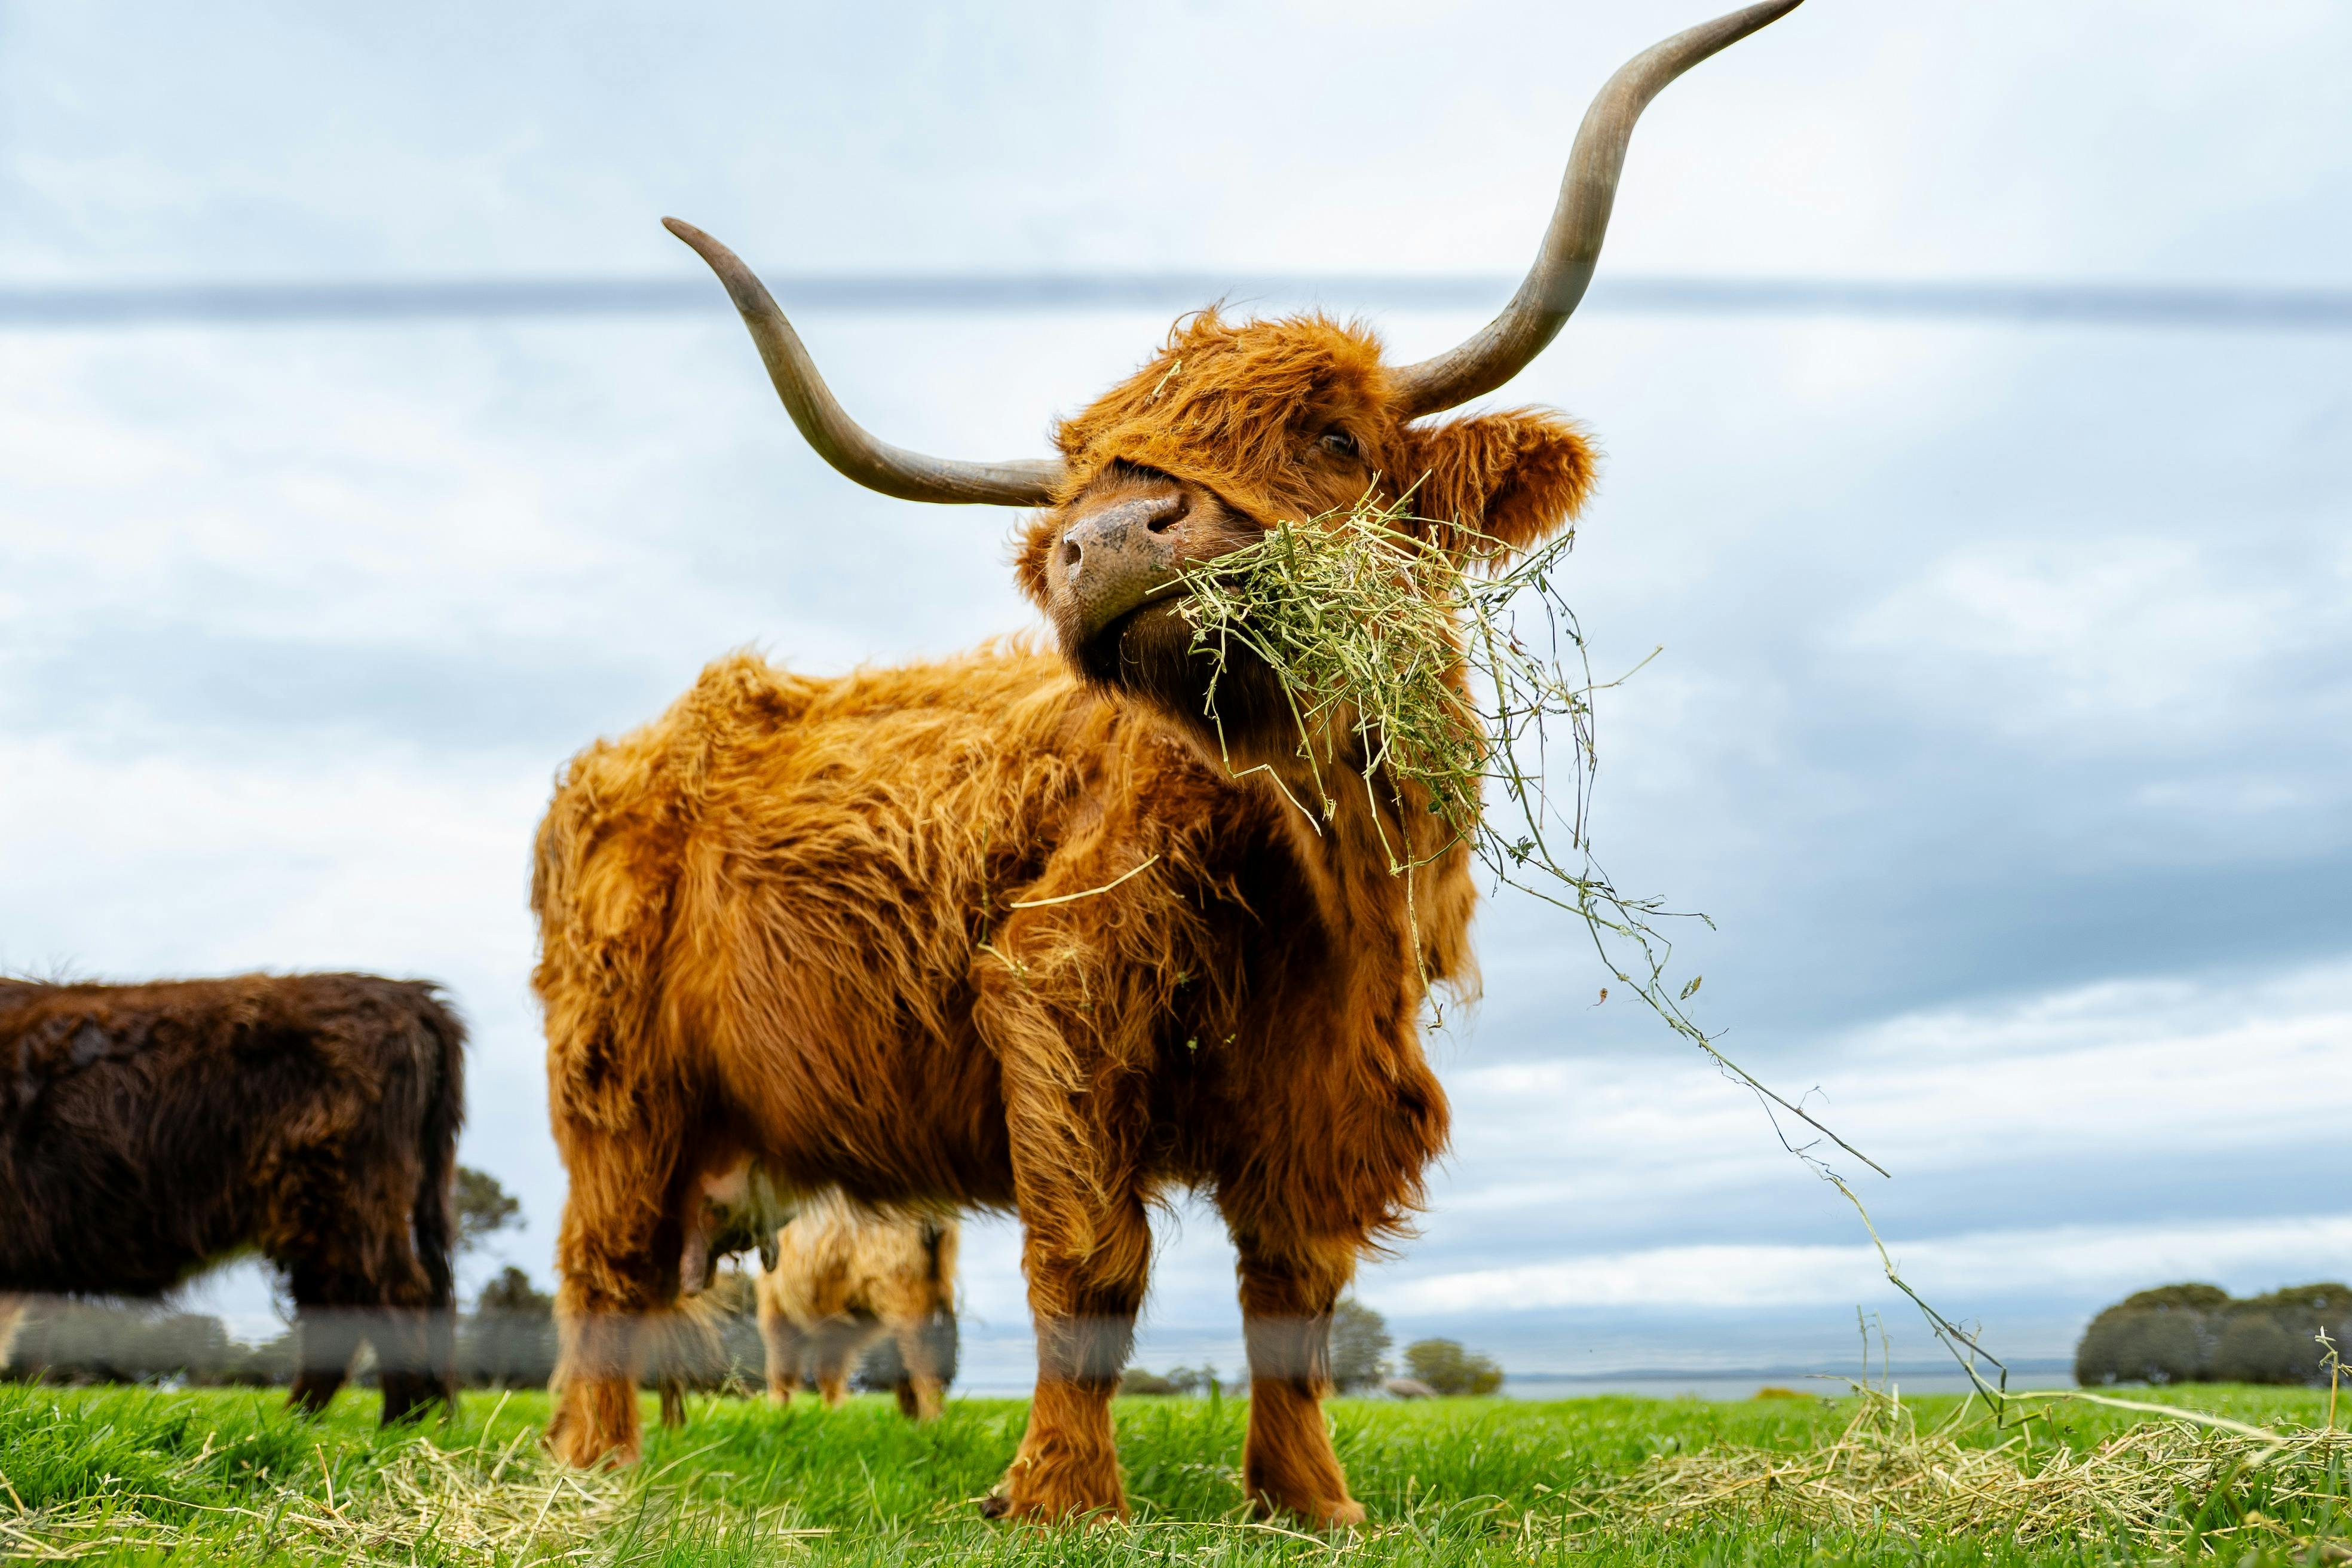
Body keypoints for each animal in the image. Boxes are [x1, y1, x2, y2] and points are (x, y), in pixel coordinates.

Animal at [0, 974, 464, 1423]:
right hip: (321, 1223)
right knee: (340, 1312)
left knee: (398, 1298)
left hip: (351, 1206)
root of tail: (407, 993)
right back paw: (295, 1425)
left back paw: (396, 1426)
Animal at [755, 1192, 960, 1420]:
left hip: (903, 1289)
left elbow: (783, 1371)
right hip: (934, 1285)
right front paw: (831, 1416)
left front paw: (778, 1414)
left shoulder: (776, 1309)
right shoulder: (836, 1327)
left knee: (925, 1357)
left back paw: (932, 1420)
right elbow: (830, 1373)